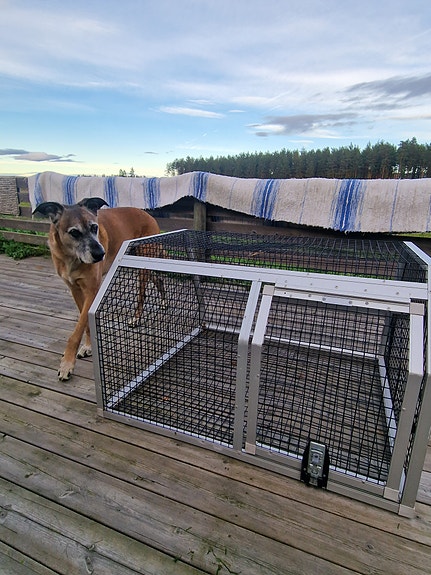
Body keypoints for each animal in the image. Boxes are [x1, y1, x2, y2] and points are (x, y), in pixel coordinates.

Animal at [34, 198, 165, 381]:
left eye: (94, 227)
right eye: (74, 233)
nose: (100, 254)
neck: (71, 257)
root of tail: (148, 215)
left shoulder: (92, 290)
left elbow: (76, 332)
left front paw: (67, 364)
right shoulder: (76, 290)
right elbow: (85, 324)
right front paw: (88, 347)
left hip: (142, 265)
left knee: (142, 294)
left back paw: (136, 318)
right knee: (158, 279)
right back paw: (164, 301)